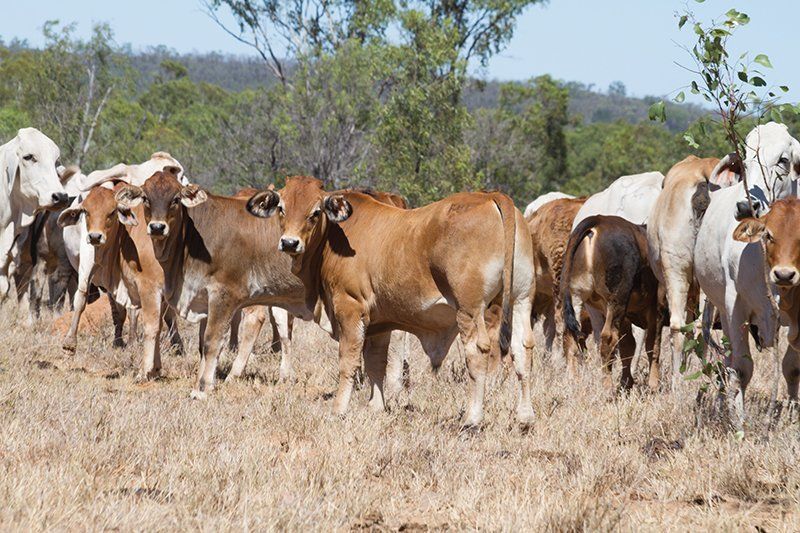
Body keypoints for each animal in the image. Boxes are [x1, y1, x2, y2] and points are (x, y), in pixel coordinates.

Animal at [245, 176, 535, 427]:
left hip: (470, 310)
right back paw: (525, 416)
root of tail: (491, 197)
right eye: (281, 207)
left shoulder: (349, 308)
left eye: (316, 212)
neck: (334, 236)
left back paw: (472, 419)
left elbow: (348, 362)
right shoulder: (379, 323)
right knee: (523, 350)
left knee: (478, 352)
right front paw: (376, 406)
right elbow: (376, 363)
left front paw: (339, 409)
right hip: (521, 300)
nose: (289, 243)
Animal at [561, 215, 663, 392]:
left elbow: (628, 346)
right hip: (616, 300)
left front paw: (626, 383)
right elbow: (653, 345)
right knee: (608, 338)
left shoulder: (626, 315)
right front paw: (654, 385)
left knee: (571, 337)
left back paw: (572, 380)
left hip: (577, 296)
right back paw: (607, 386)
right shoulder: (657, 308)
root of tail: (598, 220)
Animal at [694, 122, 800, 430]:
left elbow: (792, 368)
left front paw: (792, 416)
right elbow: (741, 368)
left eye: (783, 160)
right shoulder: (735, 306)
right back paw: (723, 406)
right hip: (717, 310)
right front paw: (739, 425)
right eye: (745, 160)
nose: (745, 207)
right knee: (725, 363)